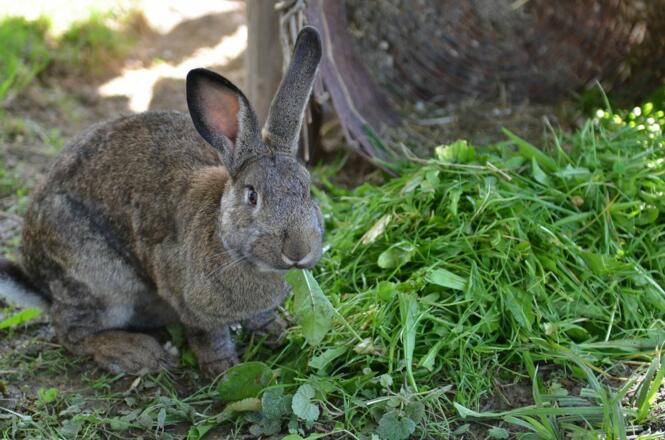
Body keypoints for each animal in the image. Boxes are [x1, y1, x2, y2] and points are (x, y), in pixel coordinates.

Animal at [0, 27, 324, 378]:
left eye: (308, 190)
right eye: (252, 196)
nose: (298, 251)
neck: (227, 242)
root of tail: (39, 284)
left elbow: (259, 317)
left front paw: (275, 330)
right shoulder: (186, 300)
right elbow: (208, 336)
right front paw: (222, 369)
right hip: (101, 280)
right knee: (71, 331)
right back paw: (137, 353)